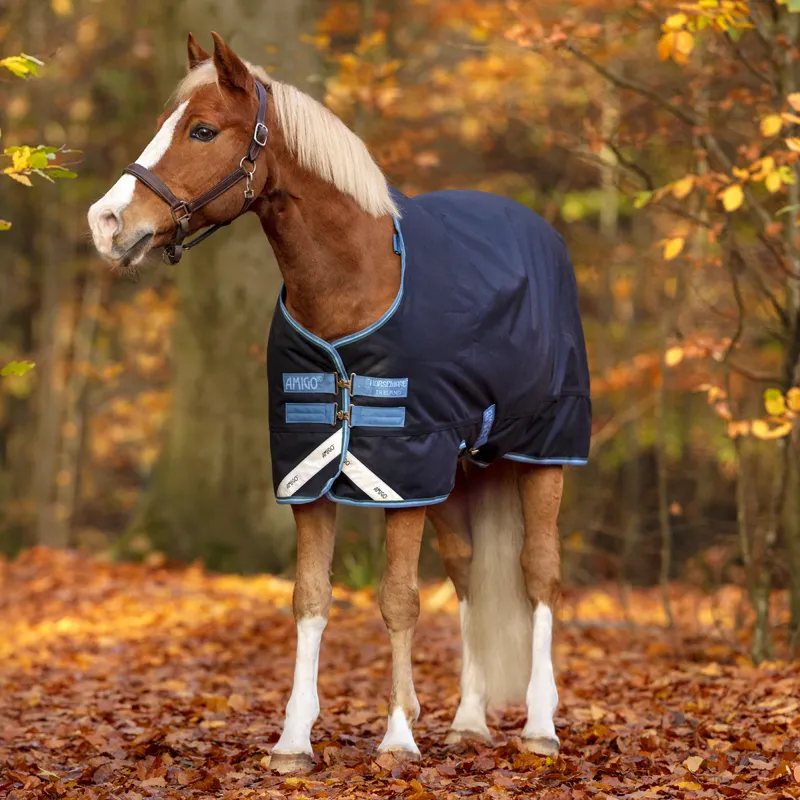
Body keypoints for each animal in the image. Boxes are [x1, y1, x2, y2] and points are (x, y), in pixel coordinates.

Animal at [87, 32, 591, 774]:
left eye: (202, 130)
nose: (106, 222)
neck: (355, 284)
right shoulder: (310, 471)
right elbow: (311, 599)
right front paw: (294, 741)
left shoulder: (401, 476)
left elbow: (400, 600)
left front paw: (398, 737)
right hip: (457, 470)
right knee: (470, 575)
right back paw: (469, 722)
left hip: (543, 454)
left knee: (540, 576)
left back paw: (539, 727)